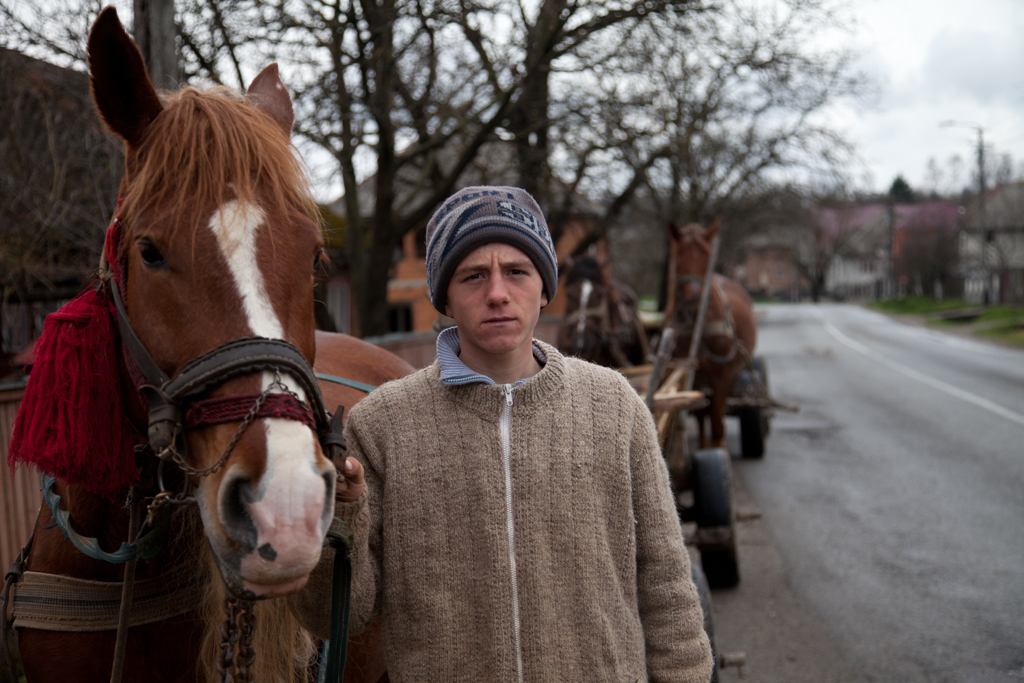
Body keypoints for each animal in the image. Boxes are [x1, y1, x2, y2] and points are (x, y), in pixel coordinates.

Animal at [667, 222, 757, 450]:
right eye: (678, 264)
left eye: (707, 262)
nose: (694, 307)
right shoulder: (694, 376)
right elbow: (700, 413)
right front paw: (704, 447)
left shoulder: (723, 377)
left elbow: (717, 420)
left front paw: (718, 449)